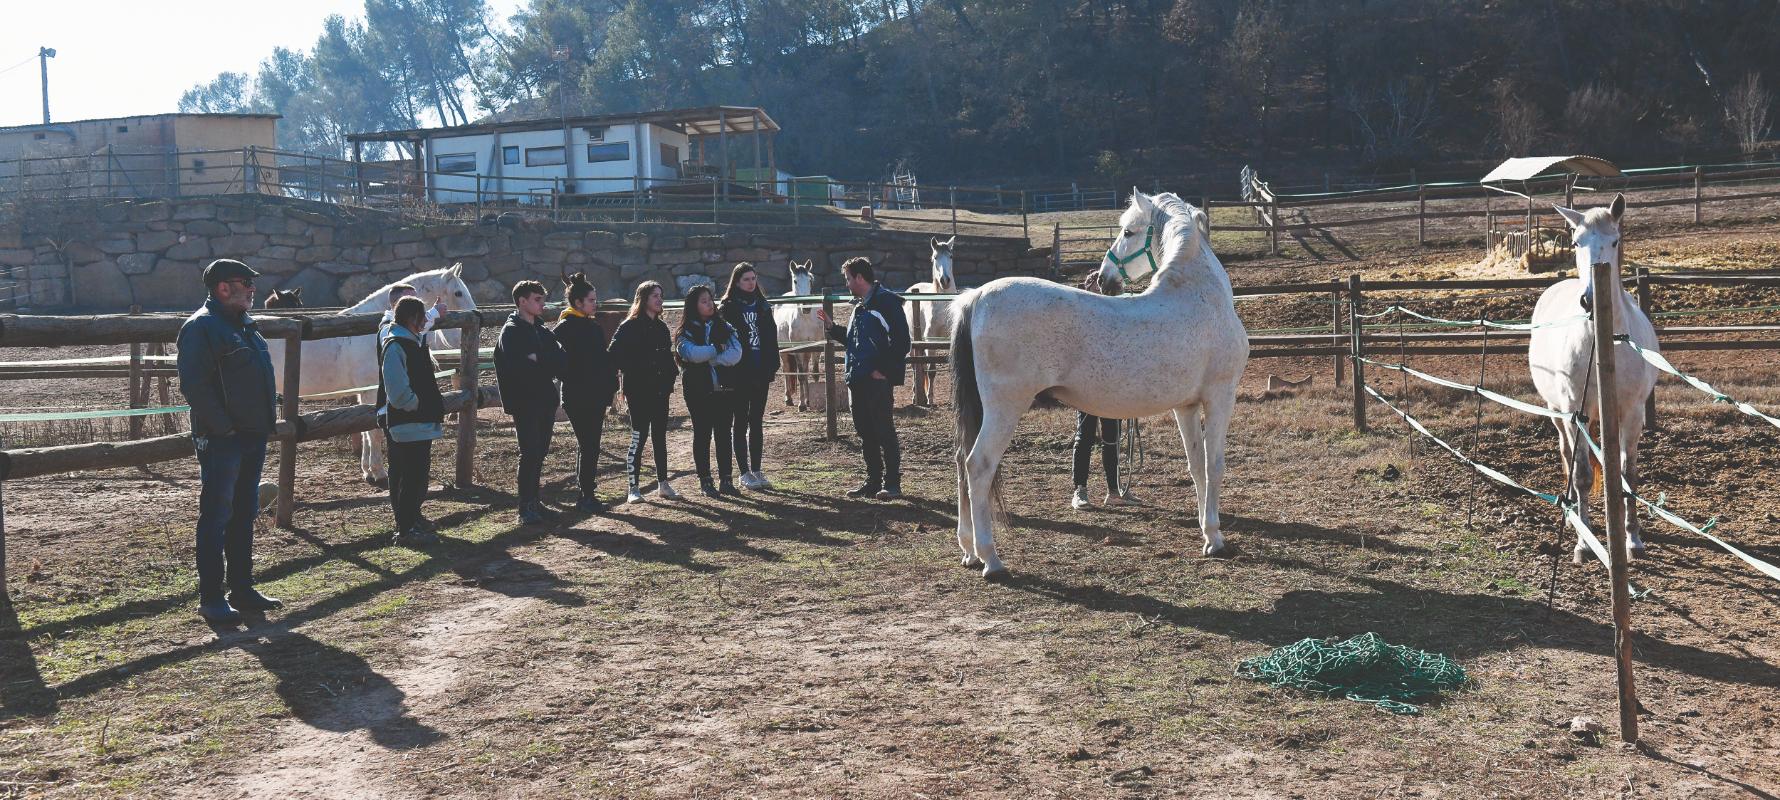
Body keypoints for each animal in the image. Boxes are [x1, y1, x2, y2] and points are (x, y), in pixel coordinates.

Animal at [261, 265, 473, 484]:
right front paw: (379, 472)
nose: (474, 315)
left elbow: (364, 430)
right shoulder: (371, 391)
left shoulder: (366, 391)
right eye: (458, 293)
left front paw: (367, 471)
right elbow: (375, 433)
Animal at [772, 261, 825, 408]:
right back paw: (789, 399)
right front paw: (801, 404)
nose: (806, 307)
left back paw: (807, 400)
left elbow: (814, 373)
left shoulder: (815, 347)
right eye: (795, 281)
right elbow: (800, 375)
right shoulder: (797, 349)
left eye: (810, 280)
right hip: (784, 351)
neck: (806, 320)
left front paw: (813, 400)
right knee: (786, 370)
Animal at [904, 233, 961, 402]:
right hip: (914, 340)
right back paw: (916, 395)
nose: (945, 280)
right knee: (916, 367)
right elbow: (932, 370)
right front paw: (930, 399)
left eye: (951, 256)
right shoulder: (931, 341)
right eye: (935, 257)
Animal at [946, 190, 1253, 577]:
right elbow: (1215, 465)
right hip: (1005, 408)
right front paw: (1215, 537)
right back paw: (990, 558)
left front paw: (1205, 531)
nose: (1105, 278)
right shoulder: (1220, 396)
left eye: (1128, 231)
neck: (1201, 294)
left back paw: (968, 549)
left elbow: (1196, 466)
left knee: (960, 462)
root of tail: (976, 297)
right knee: (978, 465)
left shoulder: (1186, 405)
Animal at [1523, 191, 1658, 563]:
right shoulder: (1576, 411)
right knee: (1567, 453)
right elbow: (1583, 475)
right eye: (1576, 242)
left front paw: (1632, 538)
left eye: (1615, 241)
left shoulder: (1633, 413)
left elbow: (1628, 476)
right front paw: (1584, 544)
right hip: (1558, 412)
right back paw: (1573, 514)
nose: (1589, 300)